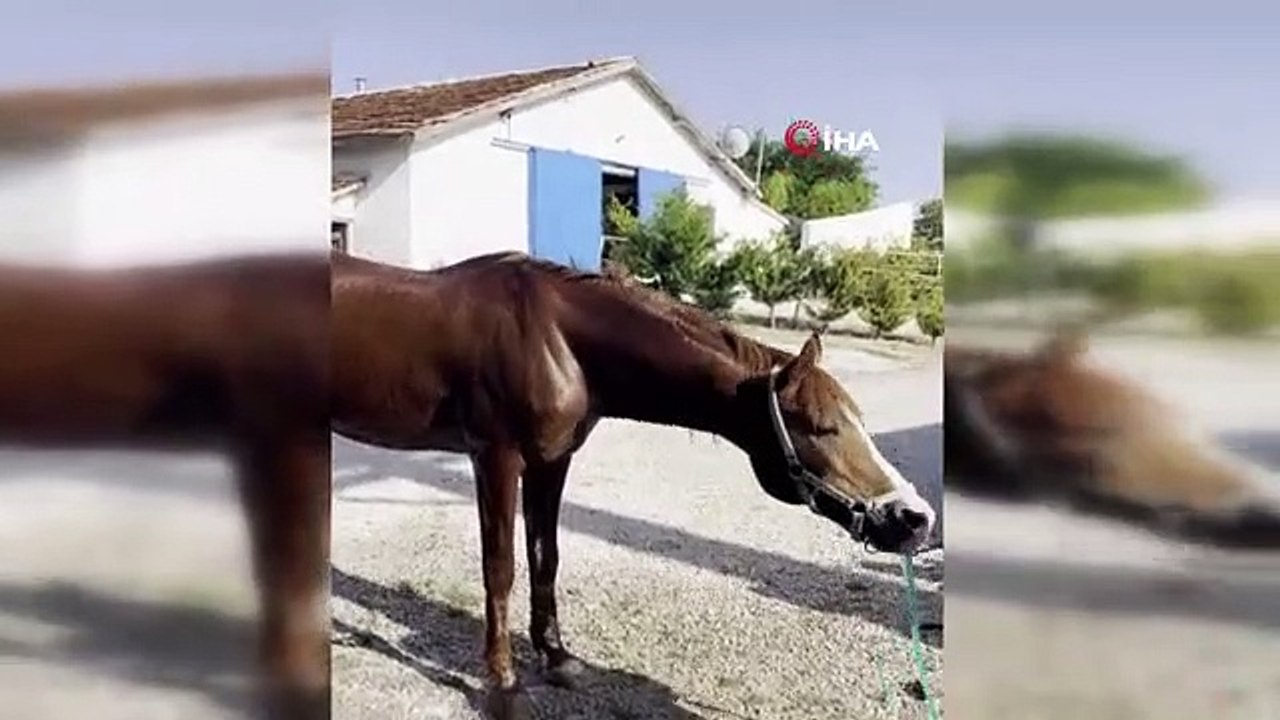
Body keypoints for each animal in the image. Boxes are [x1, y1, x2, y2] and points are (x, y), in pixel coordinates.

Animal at [330, 250, 937, 719]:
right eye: (823, 426)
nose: (915, 518)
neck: (554, 339)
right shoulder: (496, 459)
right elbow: (500, 569)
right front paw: (504, 685)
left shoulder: (552, 461)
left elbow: (546, 556)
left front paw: (557, 658)